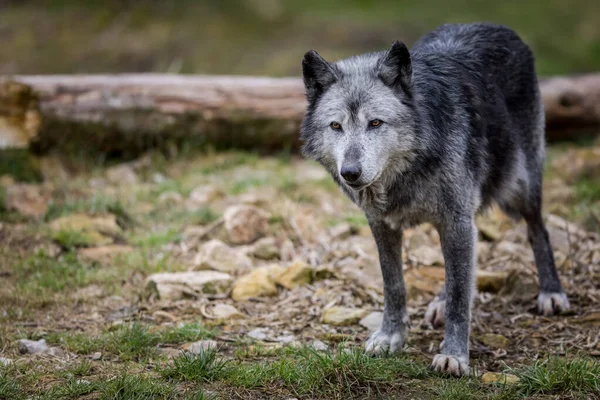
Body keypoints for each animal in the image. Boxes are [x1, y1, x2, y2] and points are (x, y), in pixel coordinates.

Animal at [300, 23, 572, 376]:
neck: (409, 168)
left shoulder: (456, 220)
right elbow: (395, 285)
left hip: (520, 188)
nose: (350, 172)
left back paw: (551, 292)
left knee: (538, 230)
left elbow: (459, 294)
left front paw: (454, 355)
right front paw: (391, 337)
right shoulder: (383, 225)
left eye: (375, 123)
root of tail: (493, 26)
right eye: (336, 126)